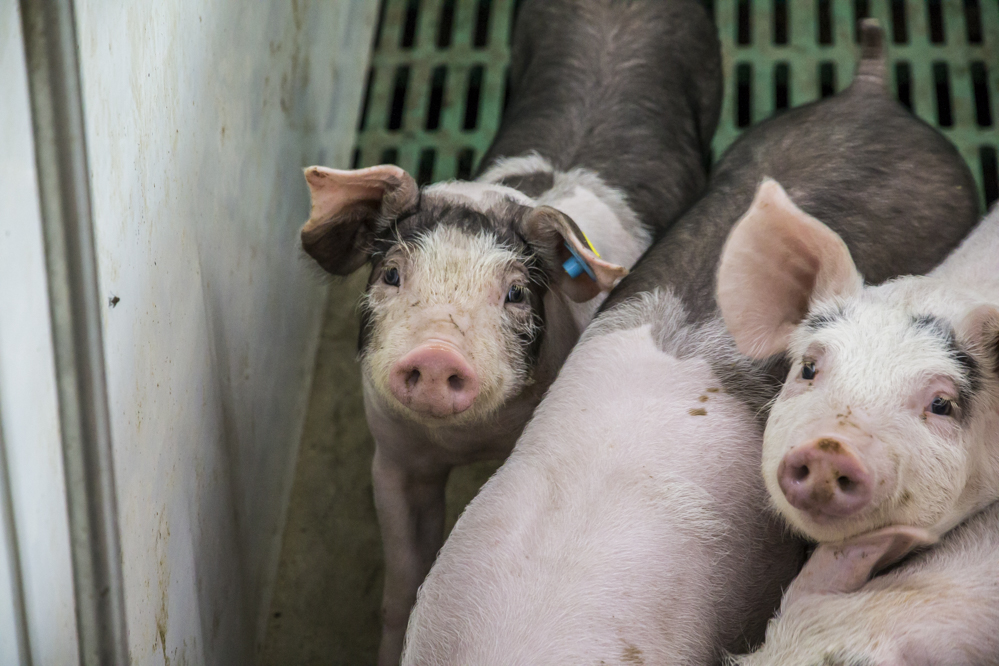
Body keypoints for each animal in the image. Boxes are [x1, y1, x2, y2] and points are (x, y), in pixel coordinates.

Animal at [298, 0, 728, 660]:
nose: (438, 353)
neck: (468, 441)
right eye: (392, 273)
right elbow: (402, 581)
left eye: (517, 293)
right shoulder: (393, 452)